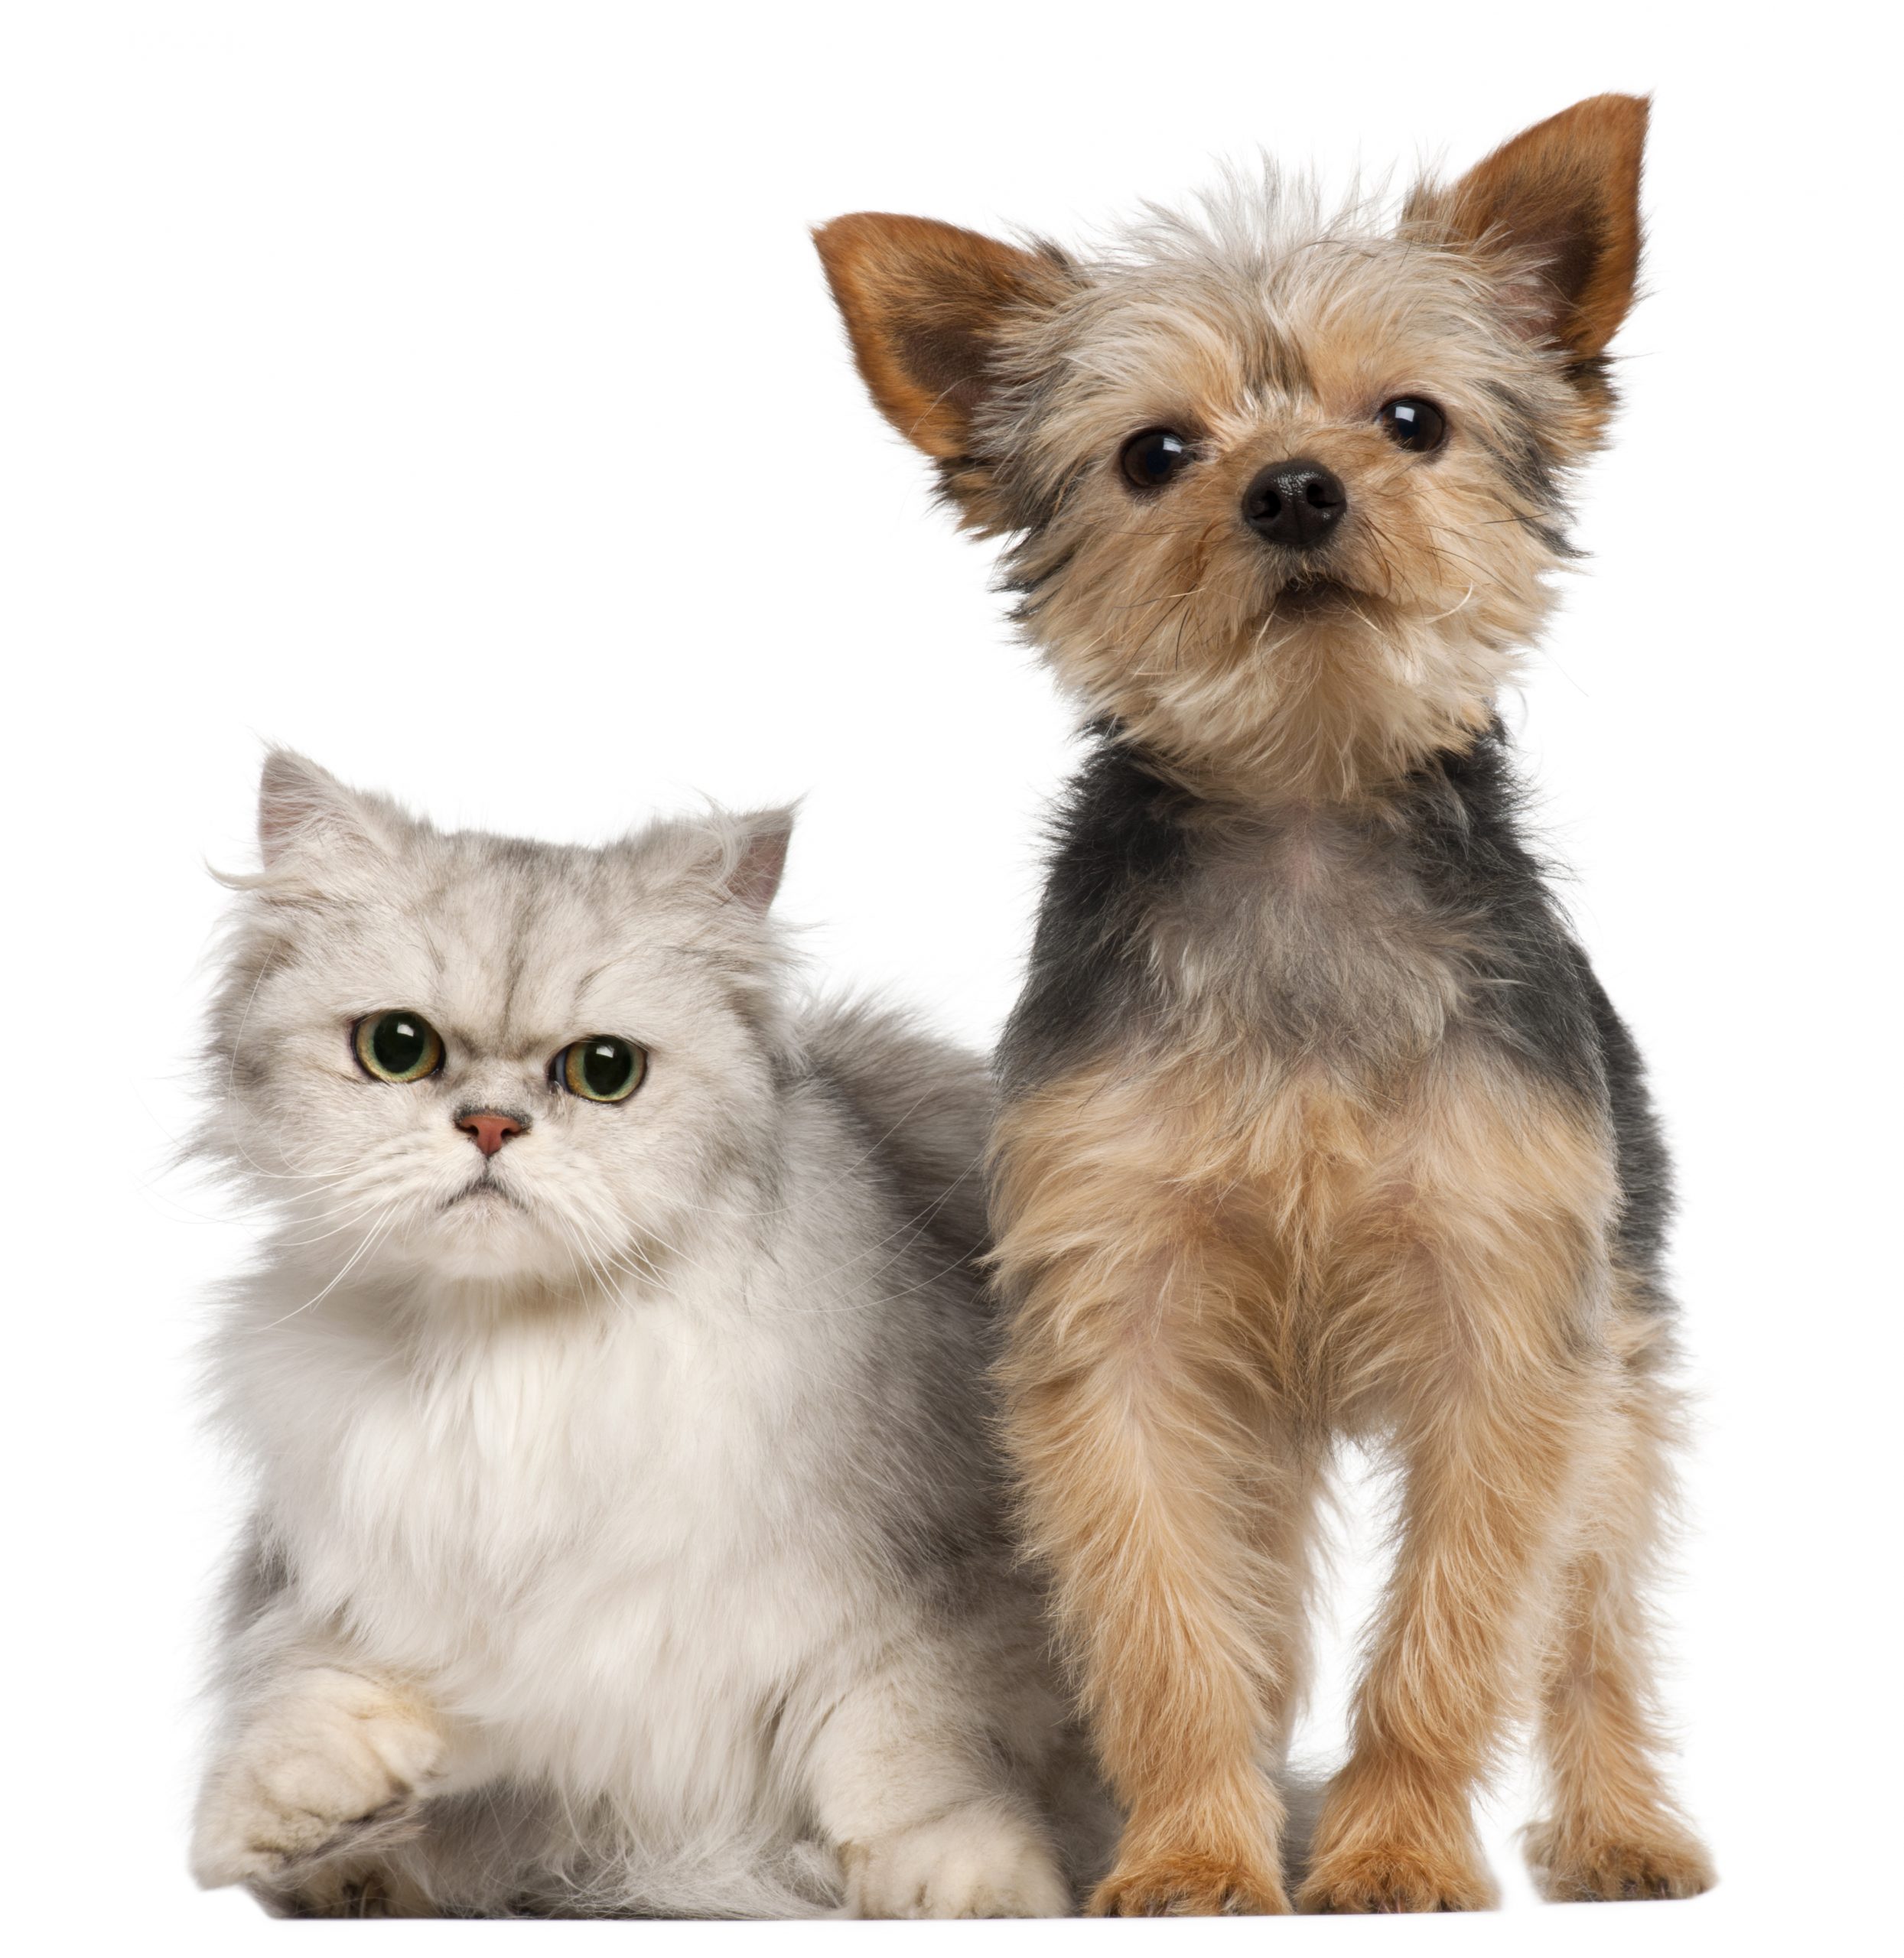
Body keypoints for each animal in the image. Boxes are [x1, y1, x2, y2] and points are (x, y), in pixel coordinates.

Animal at [190, 756, 1096, 1918]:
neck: (514, 1358)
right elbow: (313, 1694)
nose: (491, 1126)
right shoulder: (353, 1575)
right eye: (398, 1049)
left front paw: (968, 1886)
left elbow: (907, 1751)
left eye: (603, 1072)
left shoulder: (927, 1587)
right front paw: (299, 1829)